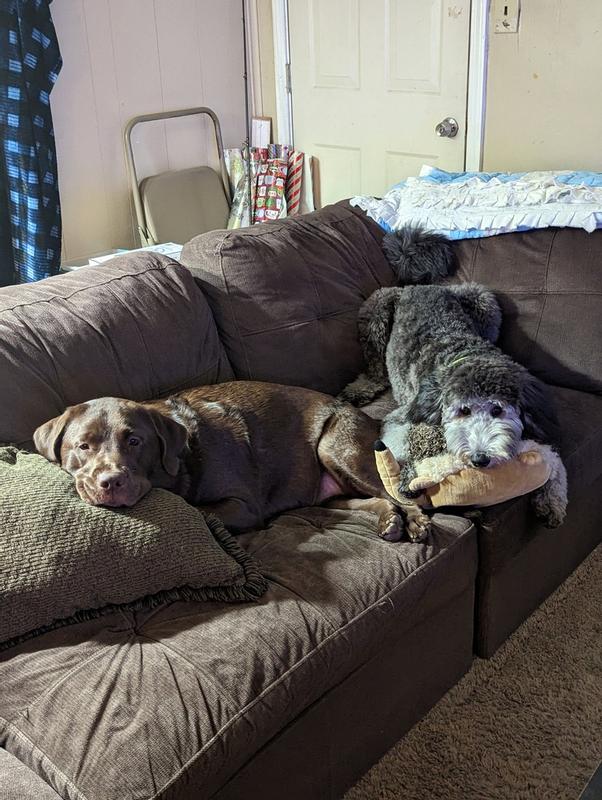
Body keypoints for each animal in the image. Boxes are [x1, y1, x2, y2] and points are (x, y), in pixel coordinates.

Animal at [340, 227, 564, 524]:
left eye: (497, 410)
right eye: (463, 411)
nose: (480, 459)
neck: (466, 353)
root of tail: (419, 285)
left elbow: (554, 460)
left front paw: (552, 500)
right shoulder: (398, 419)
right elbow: (400, 446)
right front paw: (409, 476)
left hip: (483, 301)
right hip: (376, 310)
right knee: (374, 367)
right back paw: (359, 389)